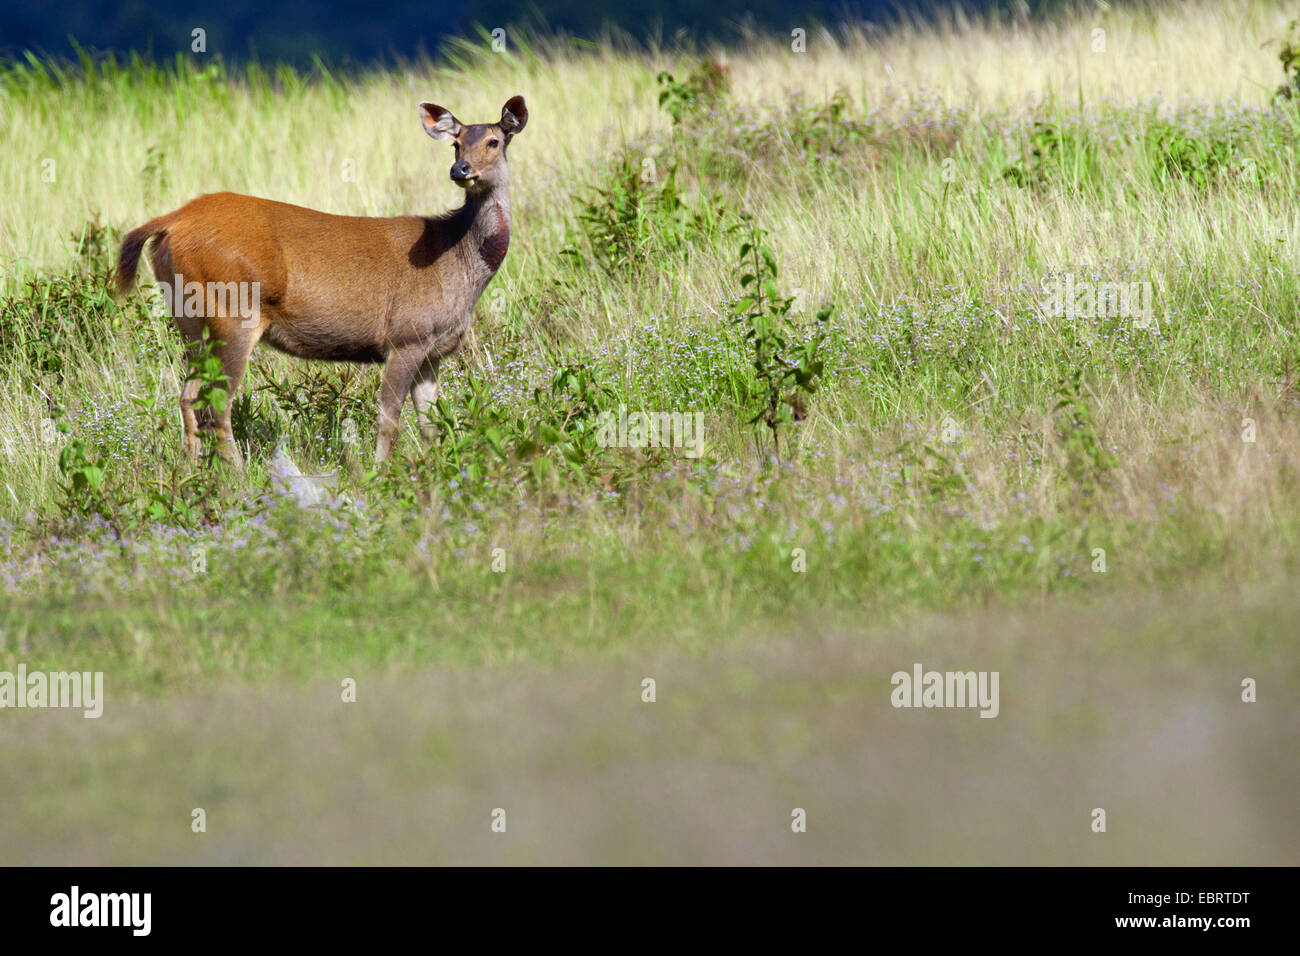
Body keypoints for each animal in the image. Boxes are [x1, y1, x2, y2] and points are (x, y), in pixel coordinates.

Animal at [113, 93, 527, 463]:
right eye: (456, 144)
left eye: (493, 141)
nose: (461, 170)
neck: (458, 261)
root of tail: (172, 221)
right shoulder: (406, 335)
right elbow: (389, 420)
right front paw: (380, 473)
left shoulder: (434, 352)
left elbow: (433, 426)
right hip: (231, 311)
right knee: (216, 406)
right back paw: (237, 479)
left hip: (189, 321)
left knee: (187, 397)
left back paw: (194, 474)